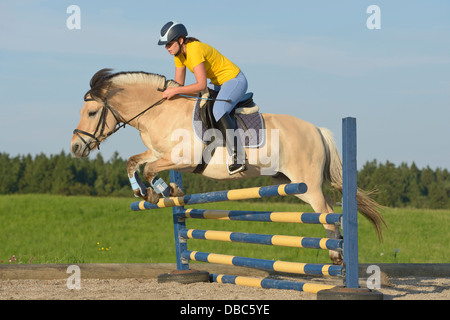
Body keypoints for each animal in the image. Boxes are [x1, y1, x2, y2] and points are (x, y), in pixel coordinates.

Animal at [71, 68, 386, 264]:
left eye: (92, 112)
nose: (75, 147)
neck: (161, 112)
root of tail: (317, 130)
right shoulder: (159, 152)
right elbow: (134, 162)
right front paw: (147, 191)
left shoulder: (184, 159)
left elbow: (149, 170)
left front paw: (162, 191)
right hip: (293, 184)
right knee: (330, 209)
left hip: (307, 185)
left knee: (328, 213)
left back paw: (337, 256)